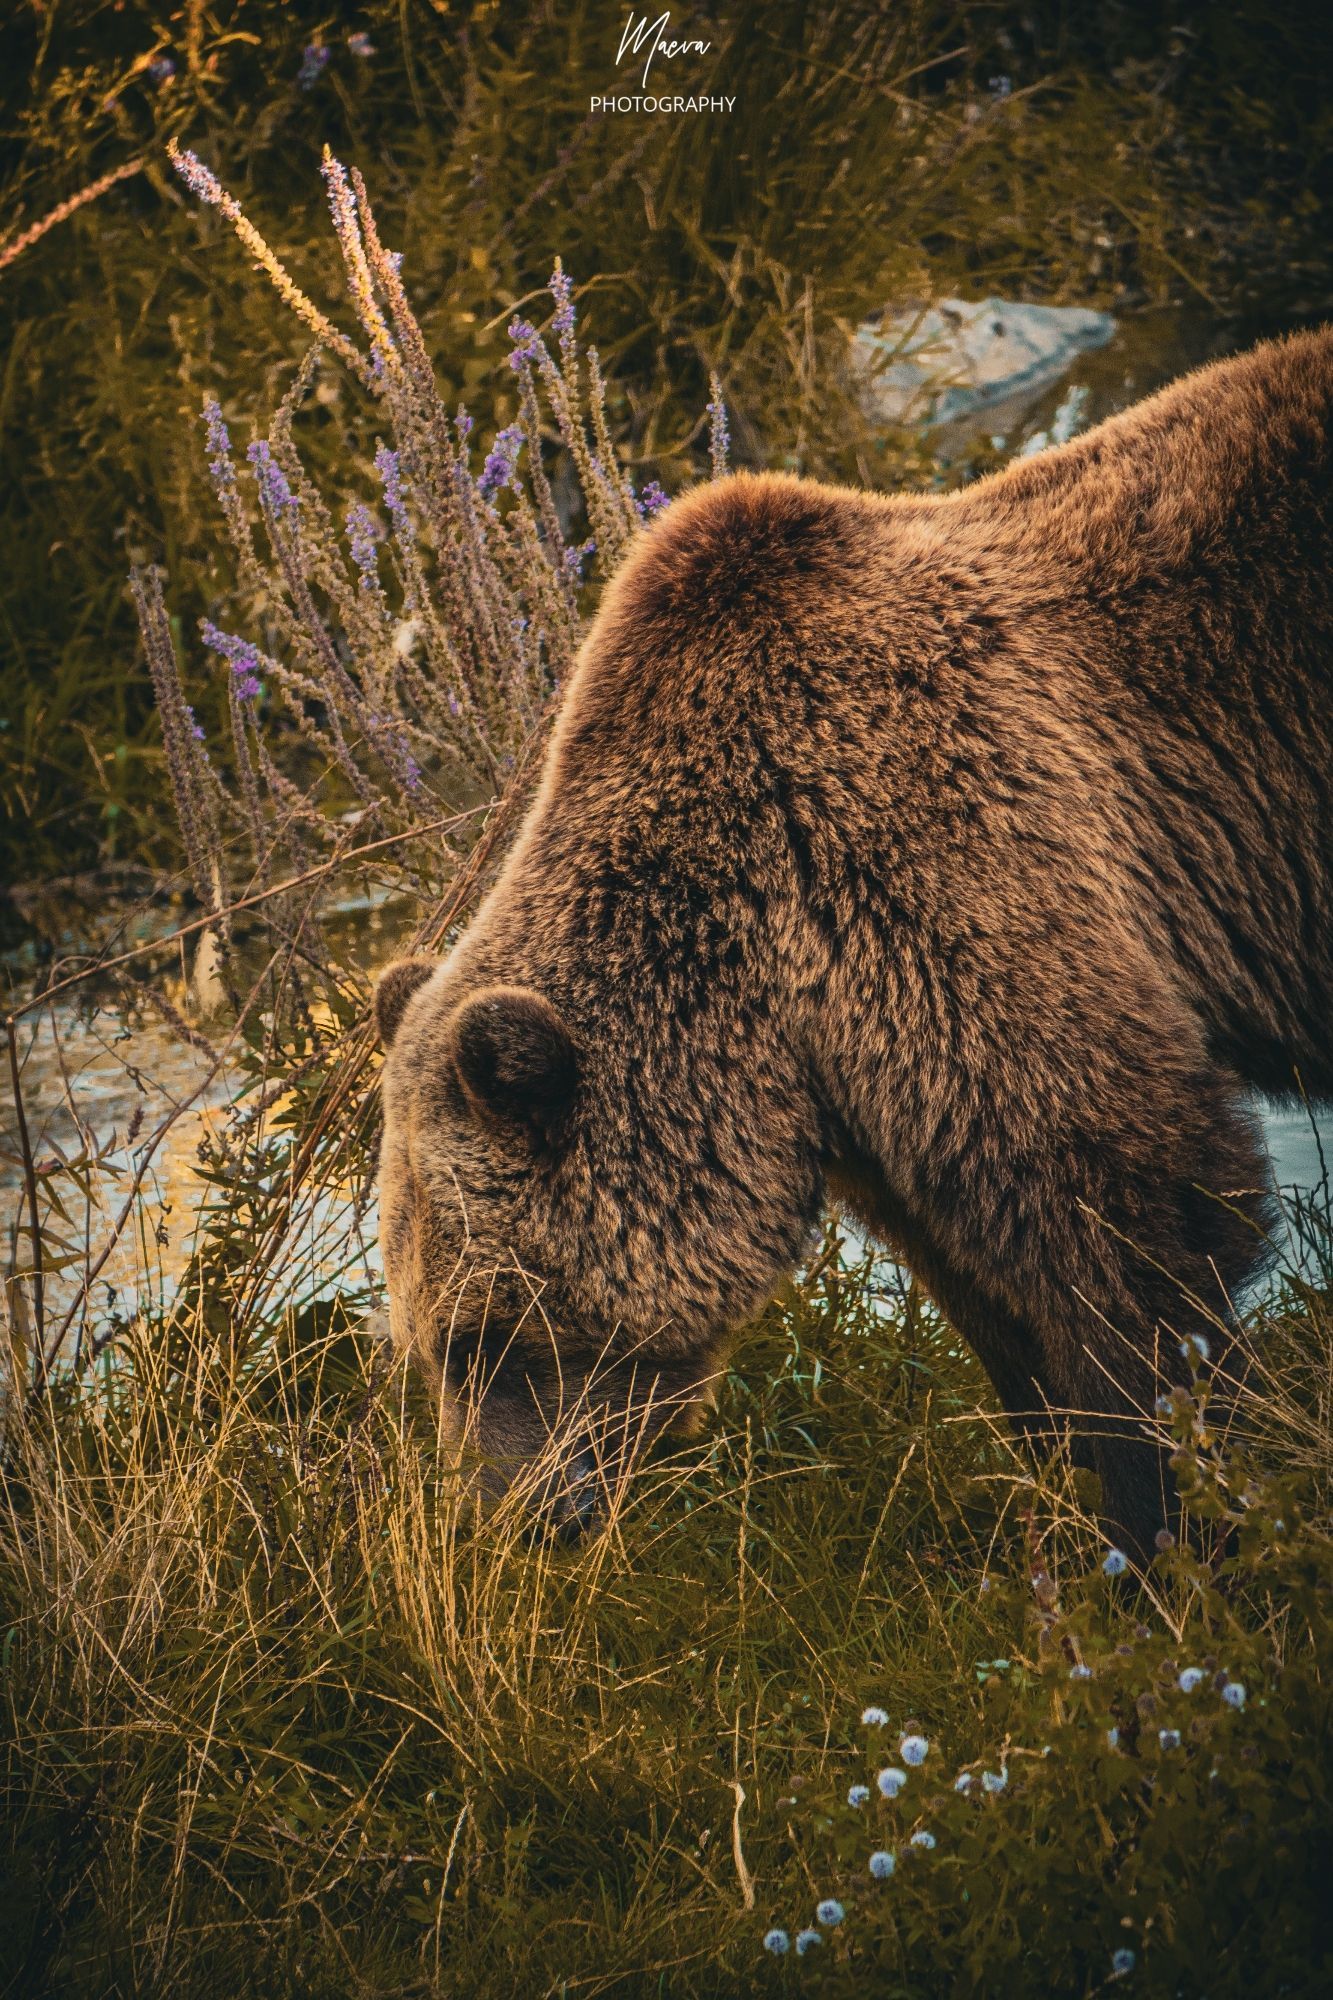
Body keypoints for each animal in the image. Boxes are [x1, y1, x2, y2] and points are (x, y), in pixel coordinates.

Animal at [370, 320, 1328, 1552]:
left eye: (487, 1335)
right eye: (424, 1344)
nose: (509, 1524)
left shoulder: (935, 862)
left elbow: (1127, 1225)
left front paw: (1175, 1512)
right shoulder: (867, 1076)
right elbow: (986, 1285)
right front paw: (1057, 1483)